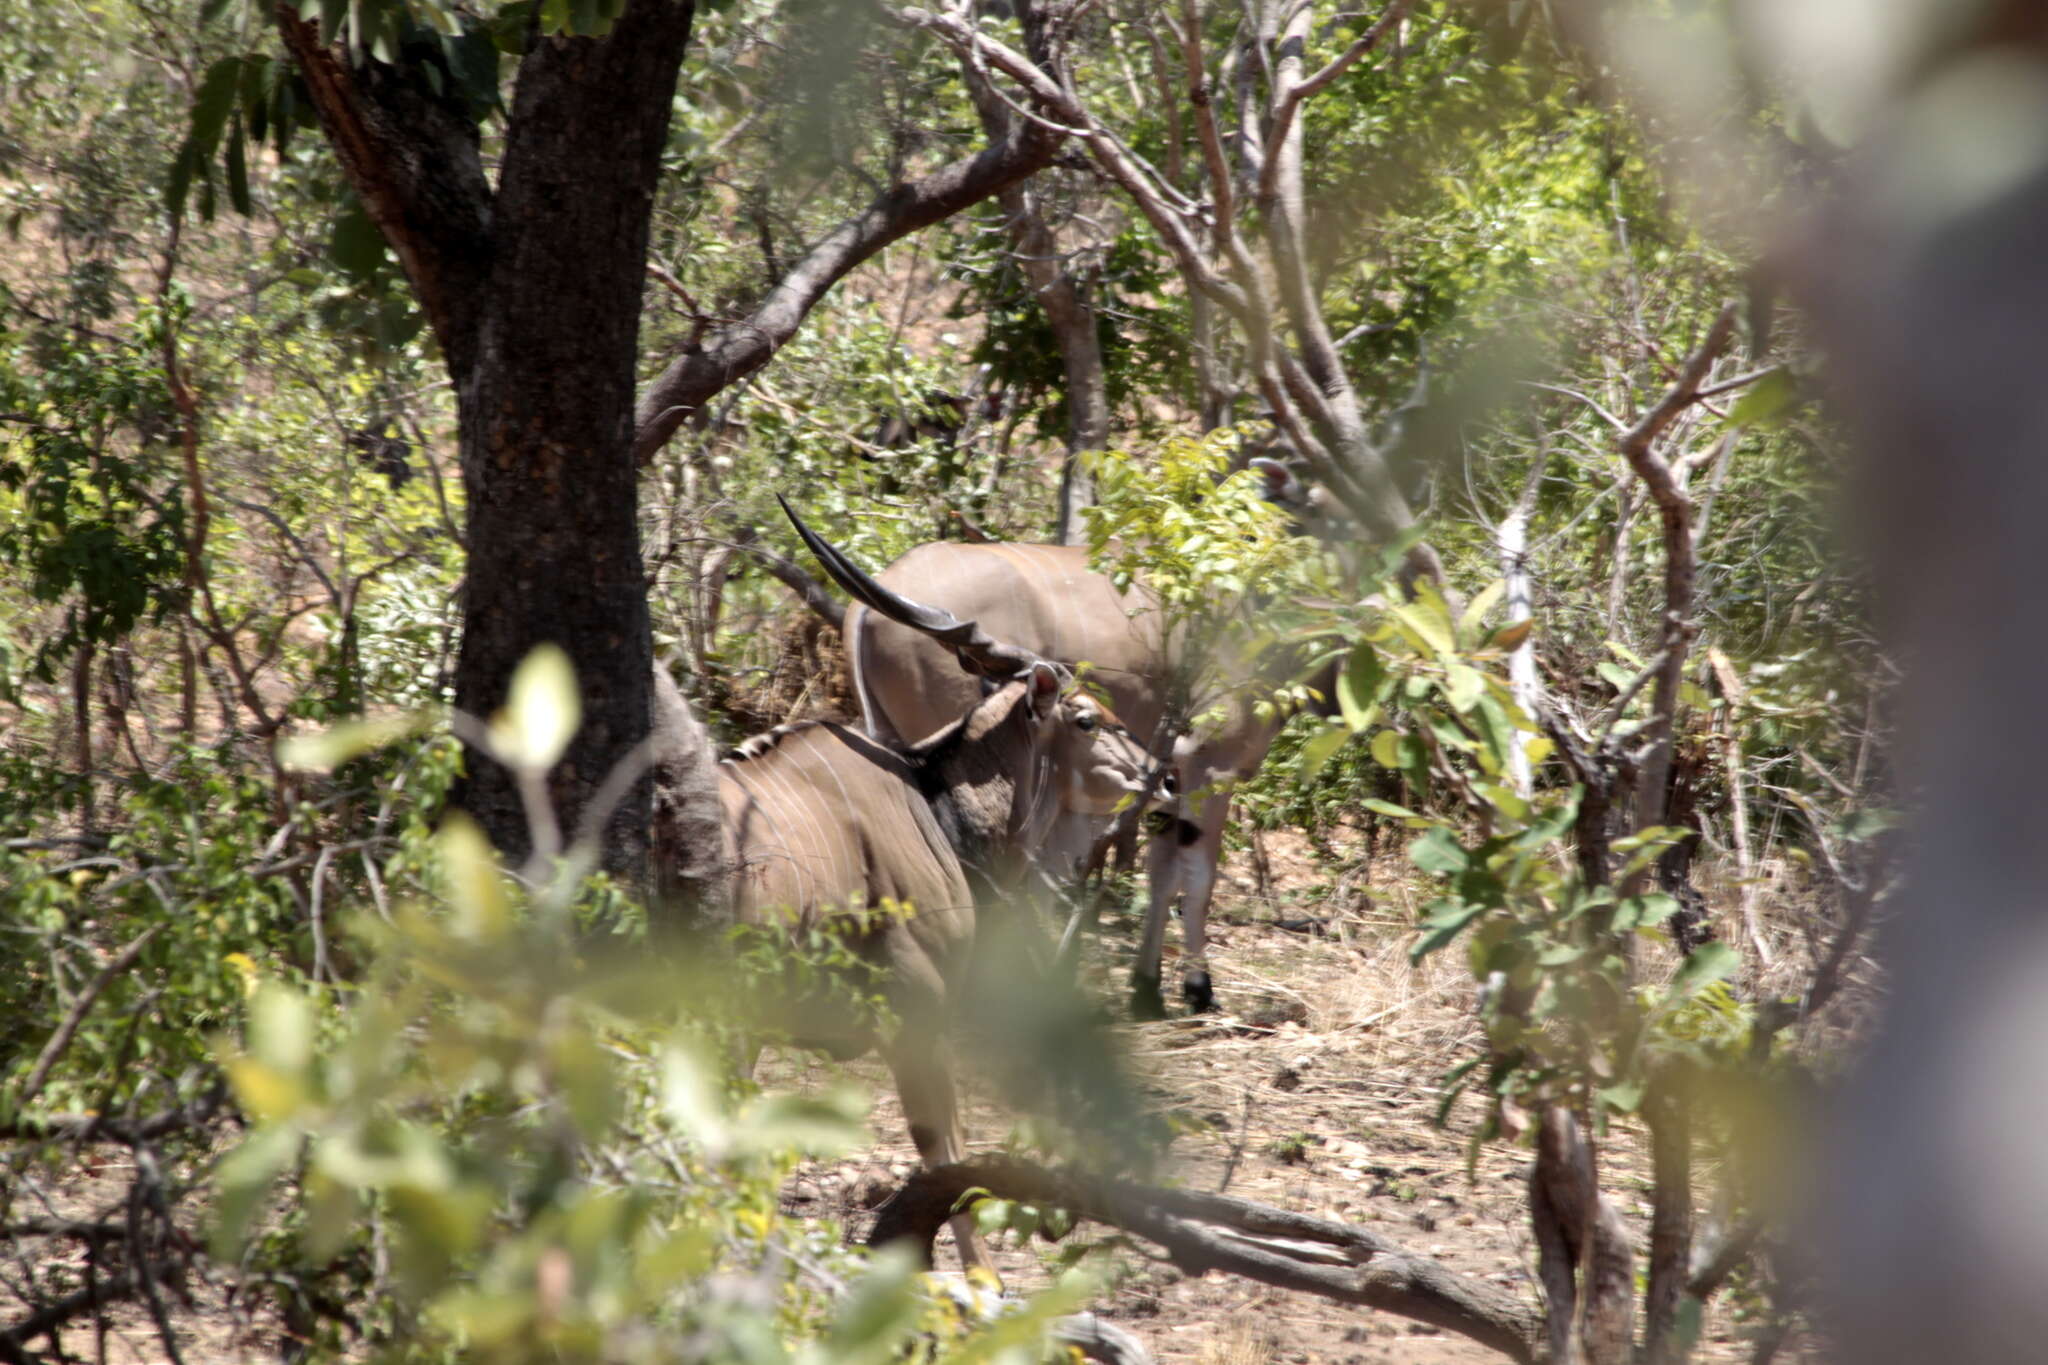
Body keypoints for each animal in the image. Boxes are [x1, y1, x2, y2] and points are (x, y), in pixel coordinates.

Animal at [655, 497, 1171, 1277]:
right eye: (1086, 717)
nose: (1161, 775)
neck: (930, 800)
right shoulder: (918, 1012)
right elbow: (946, 1158)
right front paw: (983, 1282)